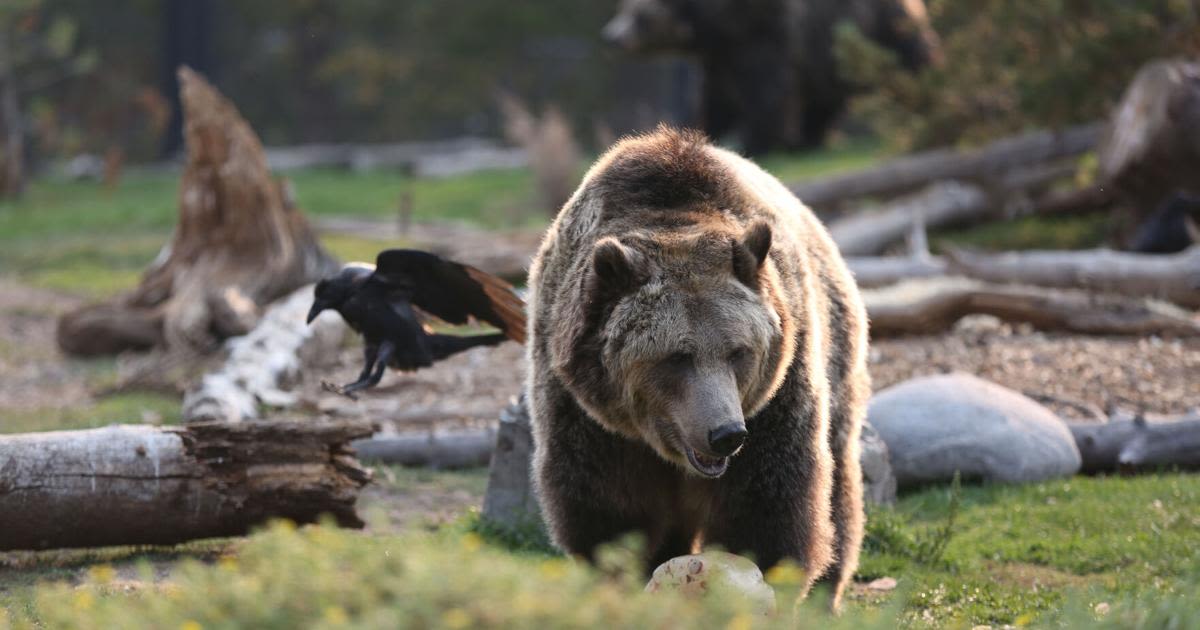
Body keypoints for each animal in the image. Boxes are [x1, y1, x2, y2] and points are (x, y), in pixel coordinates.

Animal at [530, 124, 868, 604]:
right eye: (676, 357)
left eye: (739, 351)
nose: (725, 433)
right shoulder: (587, 412)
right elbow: (607, 506)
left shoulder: (775, 398)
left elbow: (770, 503)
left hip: (836, 348)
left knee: (838, 481)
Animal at [604, 0, 940, 154]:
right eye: (625, 8)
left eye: (638, 15)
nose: (612, 36)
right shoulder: (721, 54)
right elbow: (715, 99)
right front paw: (700, 130)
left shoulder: (763, 31)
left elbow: (767, 92)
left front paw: (756, 142)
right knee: (823, 101)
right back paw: (810, 139)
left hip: (877, 28)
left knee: (909, 62)